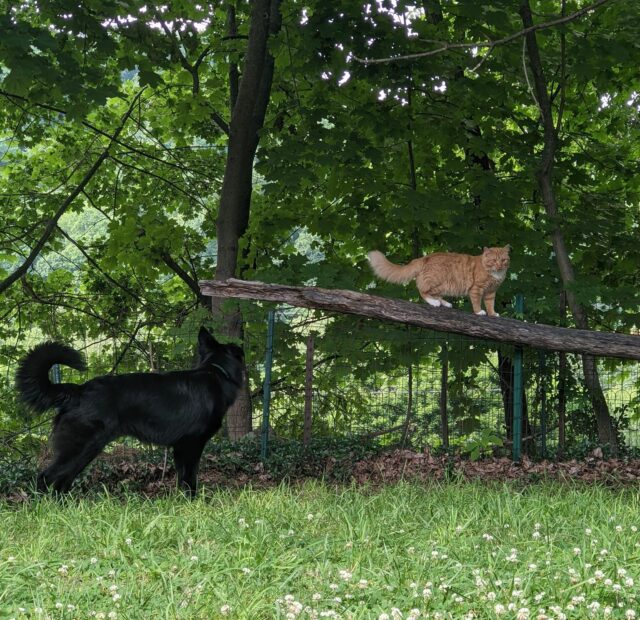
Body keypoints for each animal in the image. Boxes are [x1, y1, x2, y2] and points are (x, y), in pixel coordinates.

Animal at [15, 326, 245, 496]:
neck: (216, 372)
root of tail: (78, 391)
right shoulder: (190, 445)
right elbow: (190, 480)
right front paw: (191, 503)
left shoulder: (180, 448)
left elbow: (182, 480)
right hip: (81, 447)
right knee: (46, 477)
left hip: (84, 451)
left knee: (62, 481)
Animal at [370, 246, 510, 318]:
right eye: (494, 260)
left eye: (503, 260)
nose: (499, 266)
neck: (495, 274)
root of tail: (425, 257)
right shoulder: (477, 289)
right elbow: (476, 303)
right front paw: (479, 312)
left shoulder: (491, 292)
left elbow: (490, 304)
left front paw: (492, 314)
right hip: (437, 283)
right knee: (423, 291)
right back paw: (434, 303)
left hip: (444, 287)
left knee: (434, 294)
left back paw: (445, 303)